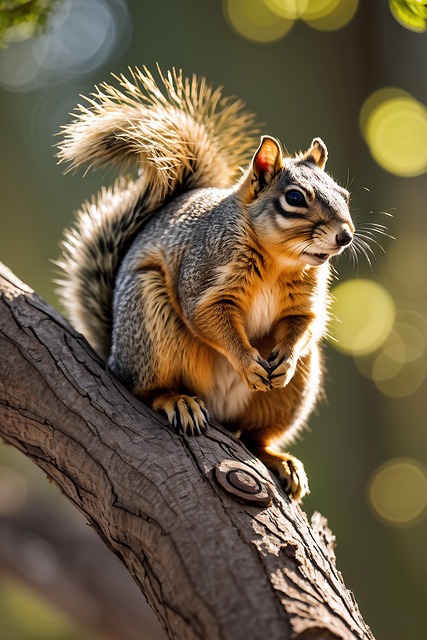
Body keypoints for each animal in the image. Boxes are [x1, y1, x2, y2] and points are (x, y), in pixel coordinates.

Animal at [56, 67, 355, 501]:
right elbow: (208, 318)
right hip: (149, 323)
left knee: (254, 437)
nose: (345, 236)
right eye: (295, 198)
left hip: (292, 391)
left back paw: (280, 459)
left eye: (345, 195)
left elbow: (306, 323)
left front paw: (283, 357)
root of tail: (113, 351)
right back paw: (176, 400)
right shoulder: (205, 275)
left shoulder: (305, 299)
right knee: (143, 388)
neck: (277, 261)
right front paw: (246, 361)